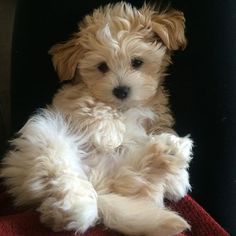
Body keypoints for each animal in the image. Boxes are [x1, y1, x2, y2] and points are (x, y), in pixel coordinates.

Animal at [0, 2, 193, 236]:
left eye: (137, 62)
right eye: (102, 66)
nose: (120, 90)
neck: (124, 107)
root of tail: (98, 180)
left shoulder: (157, 116)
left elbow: (159, 128)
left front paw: (178, 179)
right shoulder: (67, 100)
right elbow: (91, 103)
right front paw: (110, 135)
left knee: (127, 179)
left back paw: (170, 152)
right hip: (44, 135)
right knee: (66, 180)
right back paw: (75, 207)